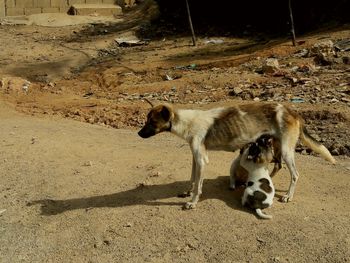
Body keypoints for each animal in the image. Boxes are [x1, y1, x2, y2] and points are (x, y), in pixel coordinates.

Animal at [137, 101, 336, 210]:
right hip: (277, 146)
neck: (185, 122)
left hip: (287, 151)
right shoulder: (195, 157)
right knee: (277, 165)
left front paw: (192, 202)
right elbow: (193, 178)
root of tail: (292, 110)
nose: (138, 134)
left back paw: (288, 196)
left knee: (295, 174)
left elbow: (198, 186)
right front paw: (187, 190)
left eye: (152, 121)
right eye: (147, 120)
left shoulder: (202, 159)